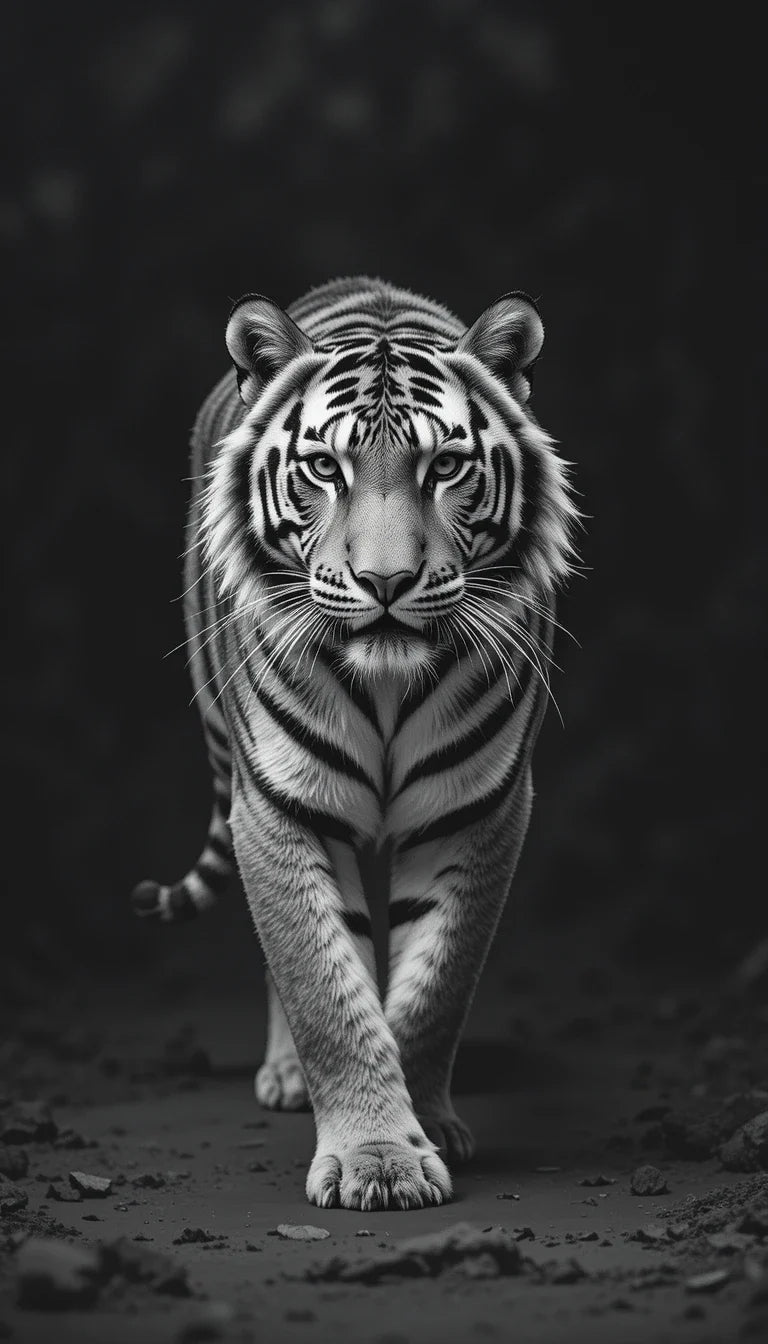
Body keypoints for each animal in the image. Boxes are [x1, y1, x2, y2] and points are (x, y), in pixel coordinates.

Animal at [132, 276, 578, 1211]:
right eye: (323, 470)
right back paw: (284, 1077)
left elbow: (436, 986)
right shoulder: (280, 806)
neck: (386, 687)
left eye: (444, 467)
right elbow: (323, 988)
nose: (385, 582)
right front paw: (374, 1155)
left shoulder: (479, 809)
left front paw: (422, 1133)